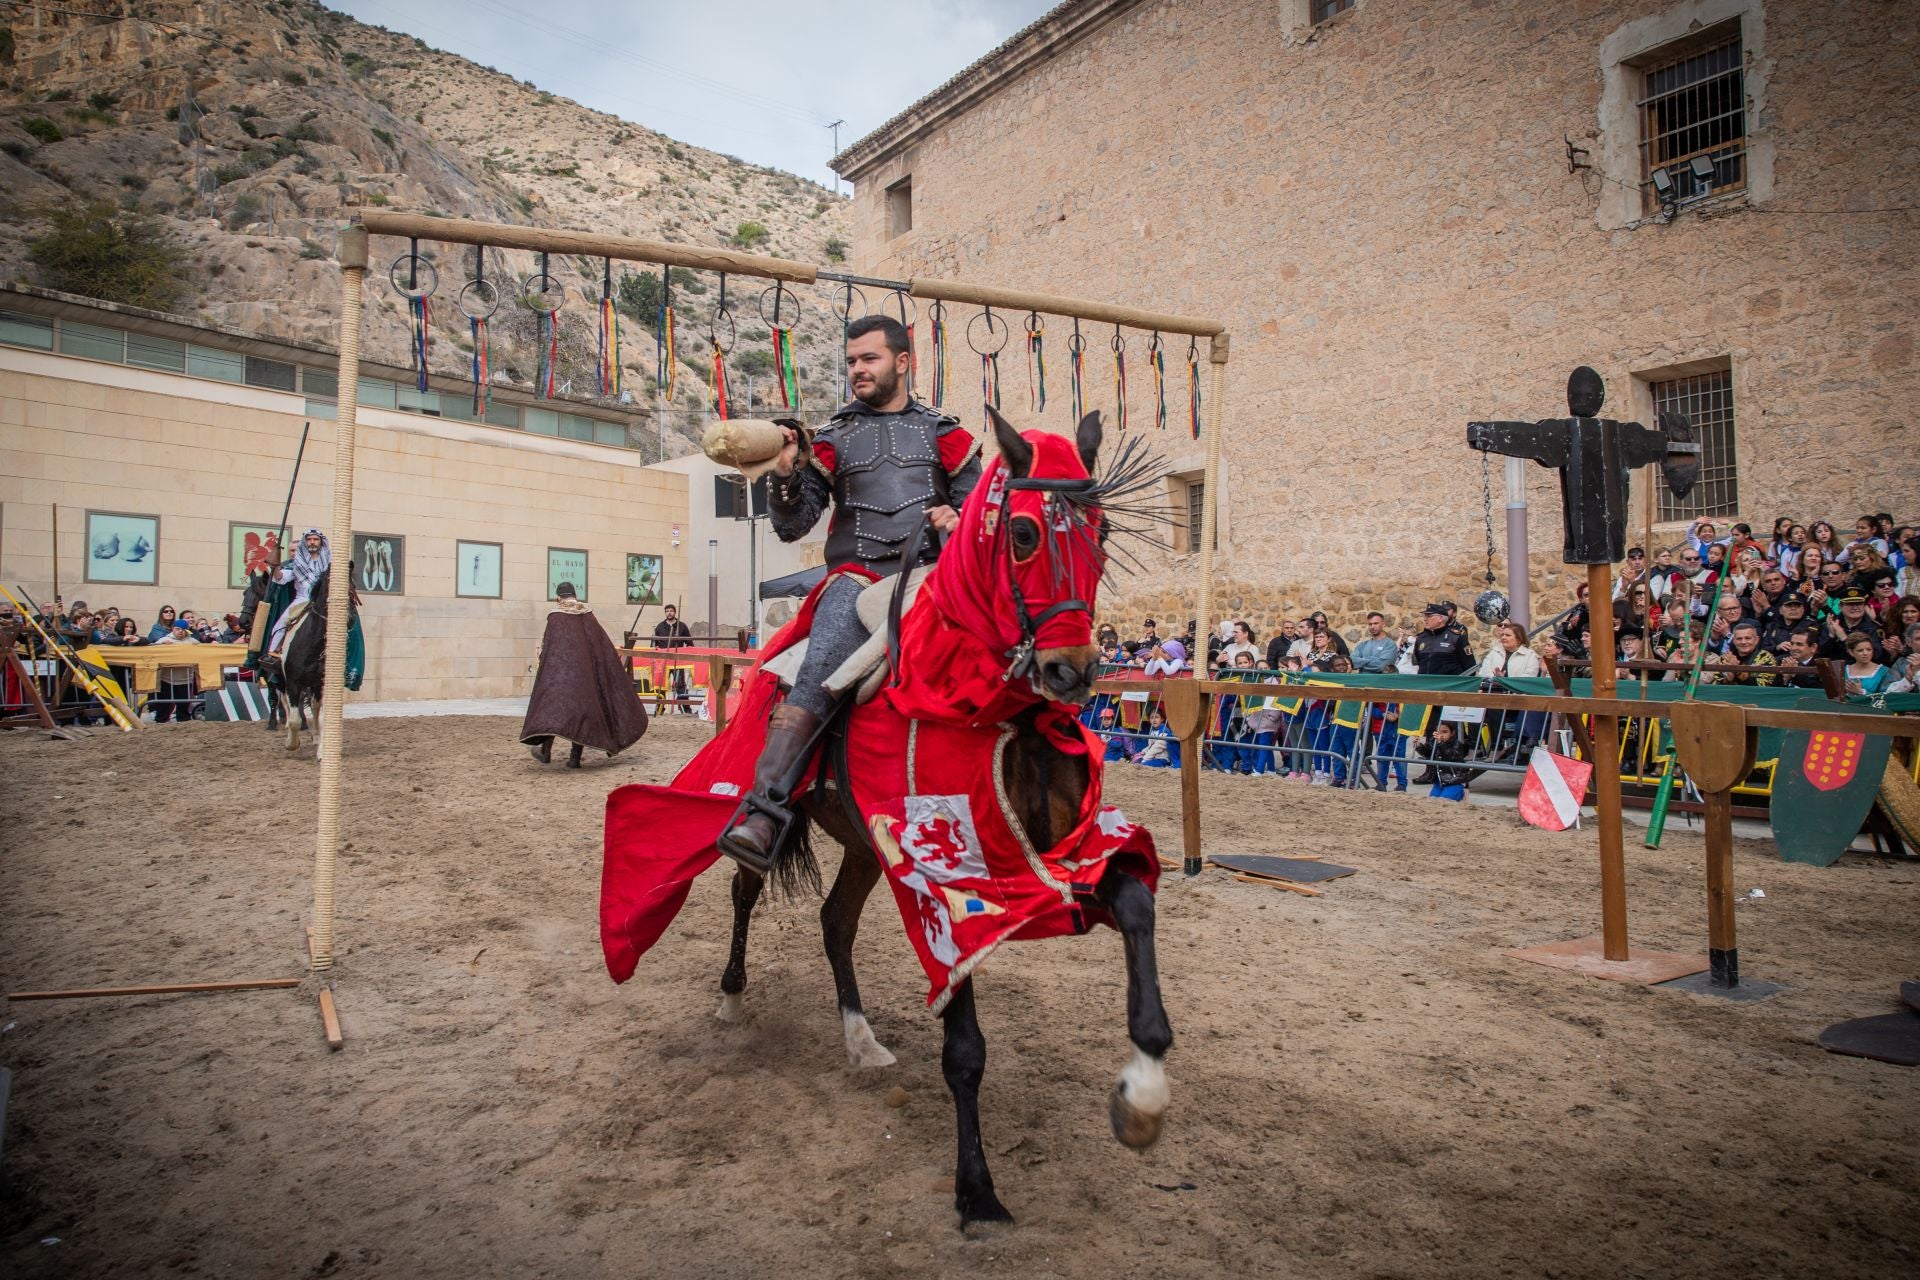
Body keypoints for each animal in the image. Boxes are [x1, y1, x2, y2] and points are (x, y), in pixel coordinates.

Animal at [710, 410, 1167, 1228]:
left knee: (835, 922)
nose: (1072, 671)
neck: (990, 706)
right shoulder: (947, 885)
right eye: (1021, 532)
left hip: (866, 846)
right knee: (744, 887)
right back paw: (732, 998)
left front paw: (1143, 1097)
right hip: (776, 810)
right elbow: (965, 1049)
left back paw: (860, 1039)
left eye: (1103, 528)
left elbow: (1137, 903)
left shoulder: (1064, 853)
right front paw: (977, 1188)